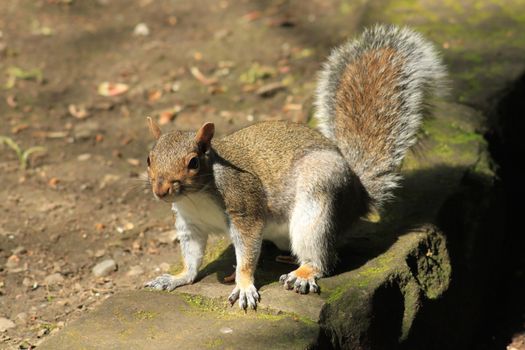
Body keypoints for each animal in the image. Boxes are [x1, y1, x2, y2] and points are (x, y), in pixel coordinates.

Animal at [143, 24, 446, 308]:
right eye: (149, 159)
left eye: (193, 162)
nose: (160, 191)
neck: (196, 197)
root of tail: (358, 198)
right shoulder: (190, 224)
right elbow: (191, 257)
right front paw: (176, 277)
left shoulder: (245, 209)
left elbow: (247, 254)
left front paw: (244, 285)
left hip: (317, 204)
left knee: (325, 257)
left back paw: (303, 272)